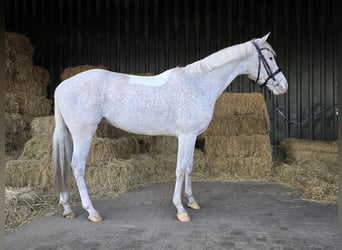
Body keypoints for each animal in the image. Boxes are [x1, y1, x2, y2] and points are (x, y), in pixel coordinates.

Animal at [52, 33, 288, 223]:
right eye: (269, 58)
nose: (283, 86)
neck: (198, 83)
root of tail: (62, 86)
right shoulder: (186, 136)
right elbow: (181, 169)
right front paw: (181, 209)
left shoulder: (191, 137)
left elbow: (190, 167)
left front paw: (191, 201)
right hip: (83, 134)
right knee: (77, 167)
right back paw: (92, 212)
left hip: (72, 135)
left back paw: (67, 208)